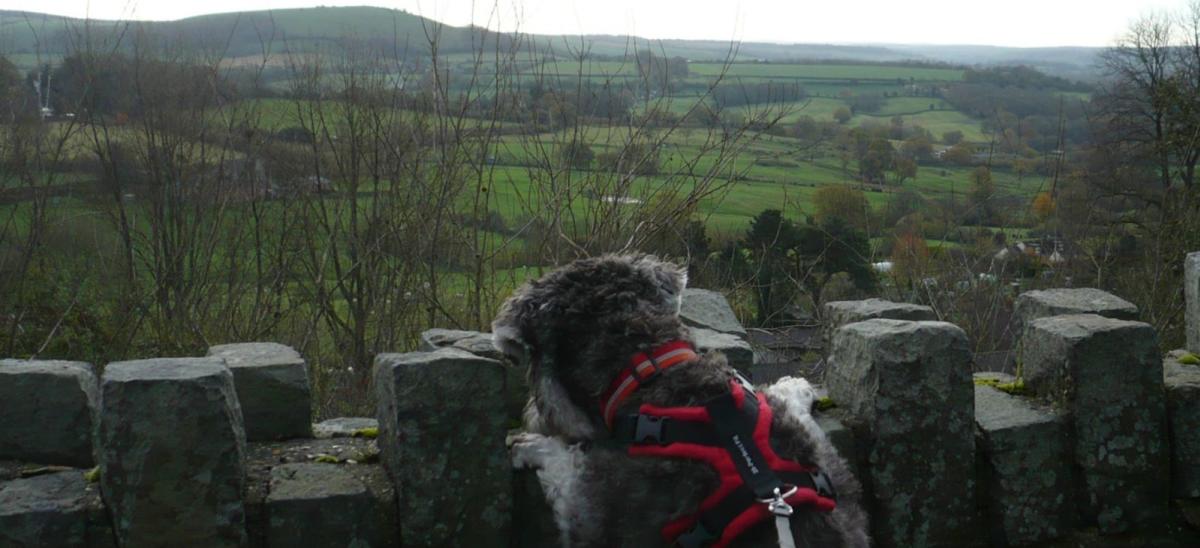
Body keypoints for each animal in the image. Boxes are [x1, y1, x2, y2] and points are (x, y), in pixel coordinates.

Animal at [492, 254, 868, 544]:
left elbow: (566, 465)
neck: (649, 369)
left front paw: (530, 445)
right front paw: (796, 388)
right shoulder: (828, 468)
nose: (531, 415)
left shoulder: (598, 511)